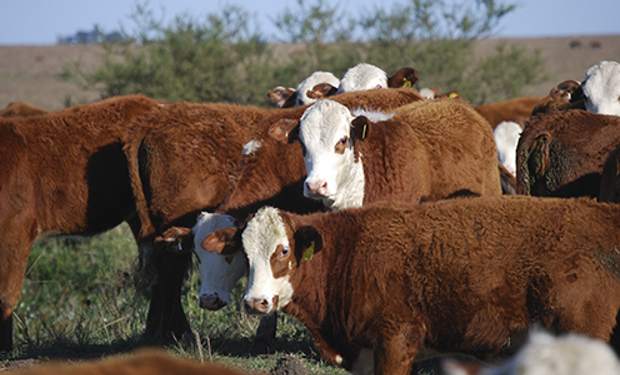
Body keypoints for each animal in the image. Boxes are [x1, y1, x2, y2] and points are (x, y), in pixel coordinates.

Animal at [230, 197, 620, 375]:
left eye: (283, 251)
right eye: (245, 256)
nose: (255, 302)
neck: (350, 253)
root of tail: (600, 212)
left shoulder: (396, 338)